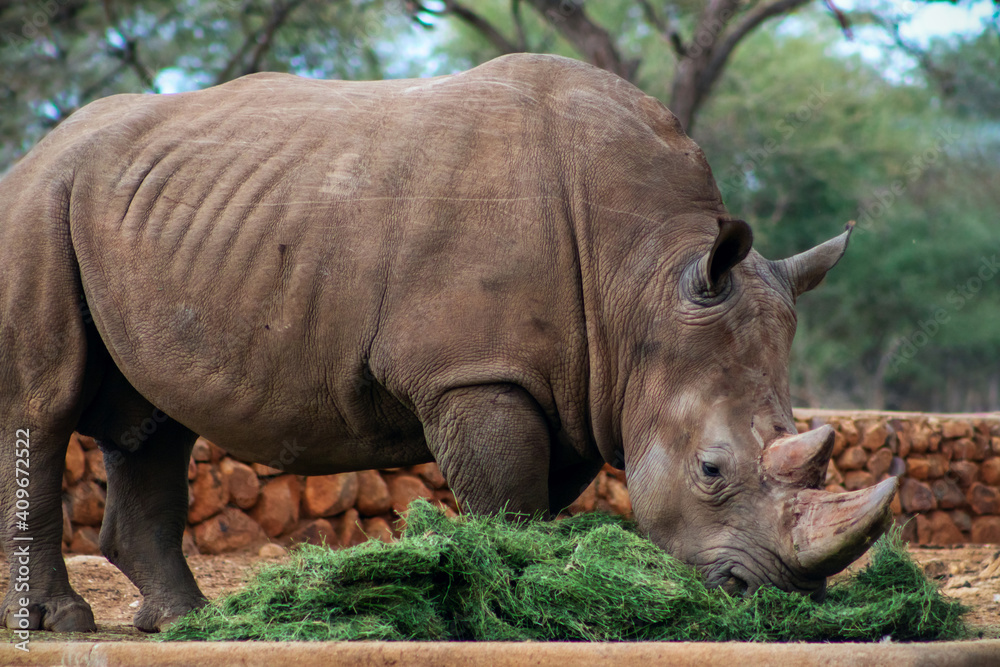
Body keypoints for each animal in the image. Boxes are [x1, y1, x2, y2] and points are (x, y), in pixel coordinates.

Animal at [0, 53, 896, 633]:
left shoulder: (576, 383)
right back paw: (64, 623)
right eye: (711, 470)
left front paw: (535, 587)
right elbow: (507, 493)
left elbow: (537, 497)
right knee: (45, 406)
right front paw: (515, 601)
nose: (779, 596)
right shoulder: (477, 374)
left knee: (150, 422)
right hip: (39, 201)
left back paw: (185, 622)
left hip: (143, 214)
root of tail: (34, 151)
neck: (643, 282)